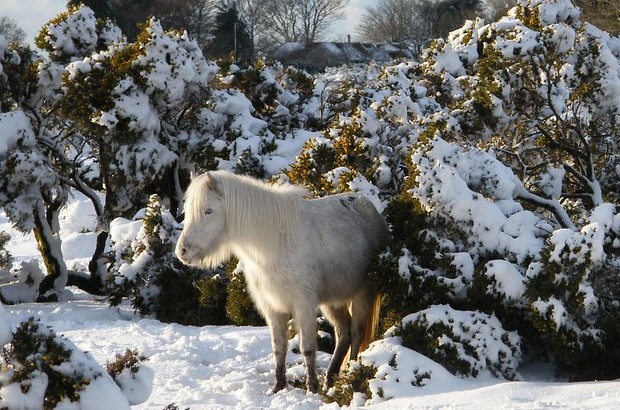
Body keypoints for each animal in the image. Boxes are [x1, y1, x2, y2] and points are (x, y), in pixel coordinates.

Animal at [176, 171, 388, 394]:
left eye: (208, 211)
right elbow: (279, 347)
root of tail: (369, 208)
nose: (182, 251)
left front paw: (312, 387)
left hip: (362, 294)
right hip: (332, 302)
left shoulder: (303, 305)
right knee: (343, 335)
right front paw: (278, 386)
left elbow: (307, 348)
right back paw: (330, 380)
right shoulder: (272, 307)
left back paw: (349, 377)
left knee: (356, 334)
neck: (274, 244)